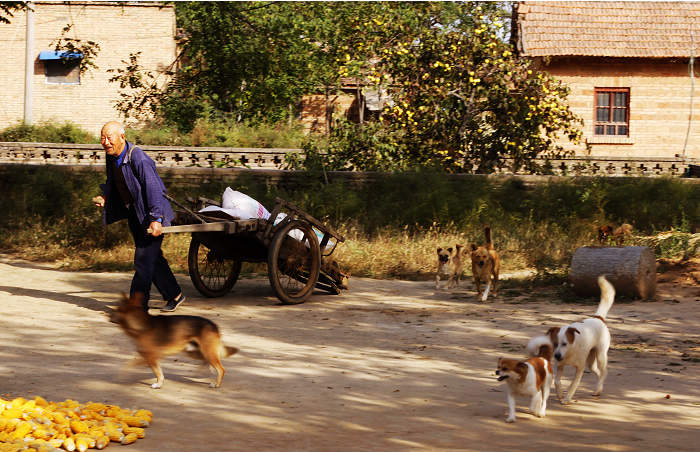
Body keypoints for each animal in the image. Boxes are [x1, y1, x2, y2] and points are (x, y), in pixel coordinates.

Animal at [108, 294, 238, 388]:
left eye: (117, 310)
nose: (108, 317)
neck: (141, 325)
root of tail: (214, 326)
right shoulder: (146, 356)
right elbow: (131, 365)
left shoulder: (151, 356)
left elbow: (154, 371)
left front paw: (157, 384)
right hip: (196, 352)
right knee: (209, 362)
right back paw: (207, 370)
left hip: (207, 352)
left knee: (221, 369)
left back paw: (216, 383)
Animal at [528, 276, 616, 406]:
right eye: (555, 344)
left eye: (564, 343)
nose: (557, 356)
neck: (570, 351)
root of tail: (598, 318)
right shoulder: (560, 366)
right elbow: (557, 381)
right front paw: (560, 394)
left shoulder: (579, 369)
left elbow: (573, 385)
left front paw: (567, 398)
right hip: (590, 363)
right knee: (598, 372)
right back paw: (598, 387)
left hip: (600, 355)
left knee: (604, 372)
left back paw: (598, 389)